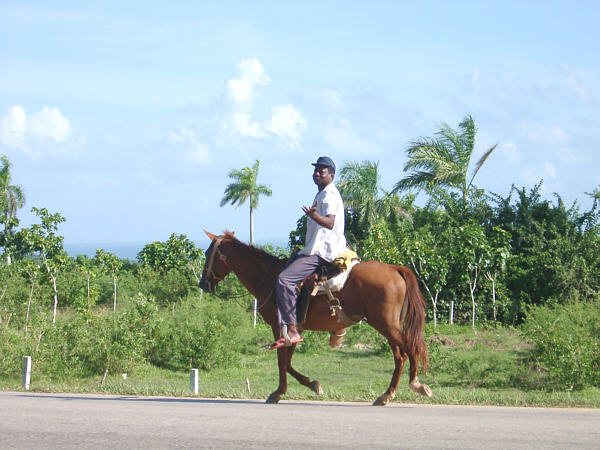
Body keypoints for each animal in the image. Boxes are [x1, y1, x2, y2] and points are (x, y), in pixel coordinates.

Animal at [200, 232, 432, 404]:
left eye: (208, 253)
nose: (203, 284)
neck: (269, 279)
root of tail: (395, 268)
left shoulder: (280, 326)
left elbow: (282, 362)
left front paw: (278, 393)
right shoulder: (295, 329)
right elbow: (287, 362)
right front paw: (312, 384)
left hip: (385, 324)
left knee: (410, 348)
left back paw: (416, 384)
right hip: (388, 325)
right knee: (400, 355)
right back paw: (386, 394)